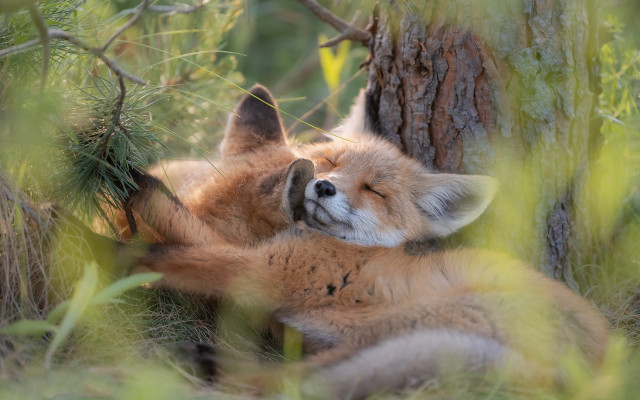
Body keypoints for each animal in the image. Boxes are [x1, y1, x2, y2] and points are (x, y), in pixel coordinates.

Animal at [97, 85, 608, 398]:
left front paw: (116, 209)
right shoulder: (264, 275)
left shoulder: (267, 270)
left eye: (375, 191)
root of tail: (606, 363)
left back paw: (204, 365)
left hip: (405, 327)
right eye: (330, 161)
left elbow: (171, 239)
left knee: (298, 385)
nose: (322, 186)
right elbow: (184, 228)